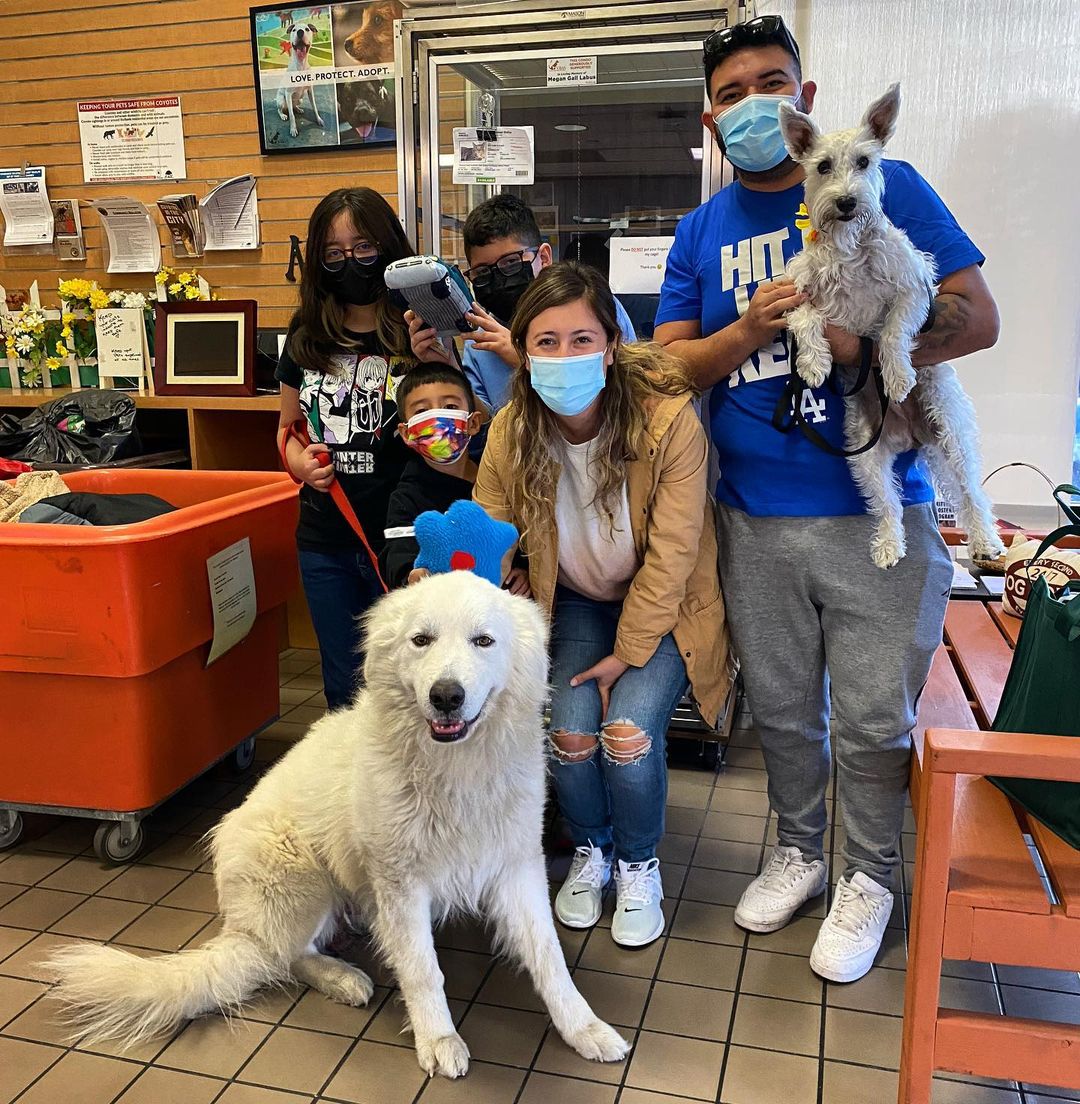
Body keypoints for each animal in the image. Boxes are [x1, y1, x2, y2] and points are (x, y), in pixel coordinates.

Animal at [48, 569, 622, 1077]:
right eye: (421, 640)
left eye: (484, 641)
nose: (446, 696)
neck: (456, 770)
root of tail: (241, 927)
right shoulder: (400, 884)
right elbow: (423, 970)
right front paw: (438, 1040)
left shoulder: (516, 868)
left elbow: (549, 958)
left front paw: (584, 1028)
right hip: (299, 873)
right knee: (283, 957)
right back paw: (343, 979)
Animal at [777, 83, 998, 569]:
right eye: (822, 166)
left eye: (864, 161)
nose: (846, 201)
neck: (847, 245)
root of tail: (910, 436)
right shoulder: (801, 292)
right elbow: (805, 319)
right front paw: (815, 362)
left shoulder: (914, 288)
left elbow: (894, 331)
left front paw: (896, 375)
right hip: (864, 453)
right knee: (889, 503)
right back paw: (888, 544)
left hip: (950, 430)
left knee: (971, 491)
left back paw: (985, 540)